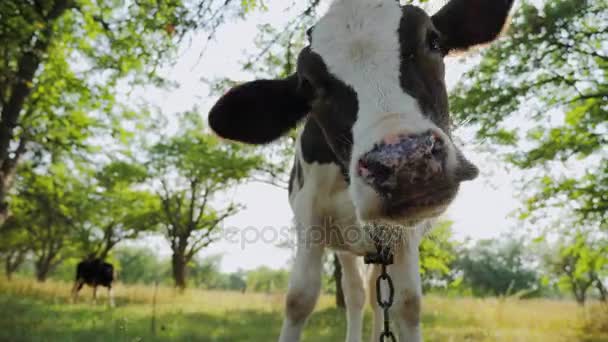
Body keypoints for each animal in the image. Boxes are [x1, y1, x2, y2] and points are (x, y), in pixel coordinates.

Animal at [208, 0, 512, 340]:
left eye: (433, 41)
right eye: (308, 85)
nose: (406, 160)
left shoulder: (407, 232)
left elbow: (407, 303)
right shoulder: (309, 215)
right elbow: (300, 298)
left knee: (379, 298)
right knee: (355, 292)